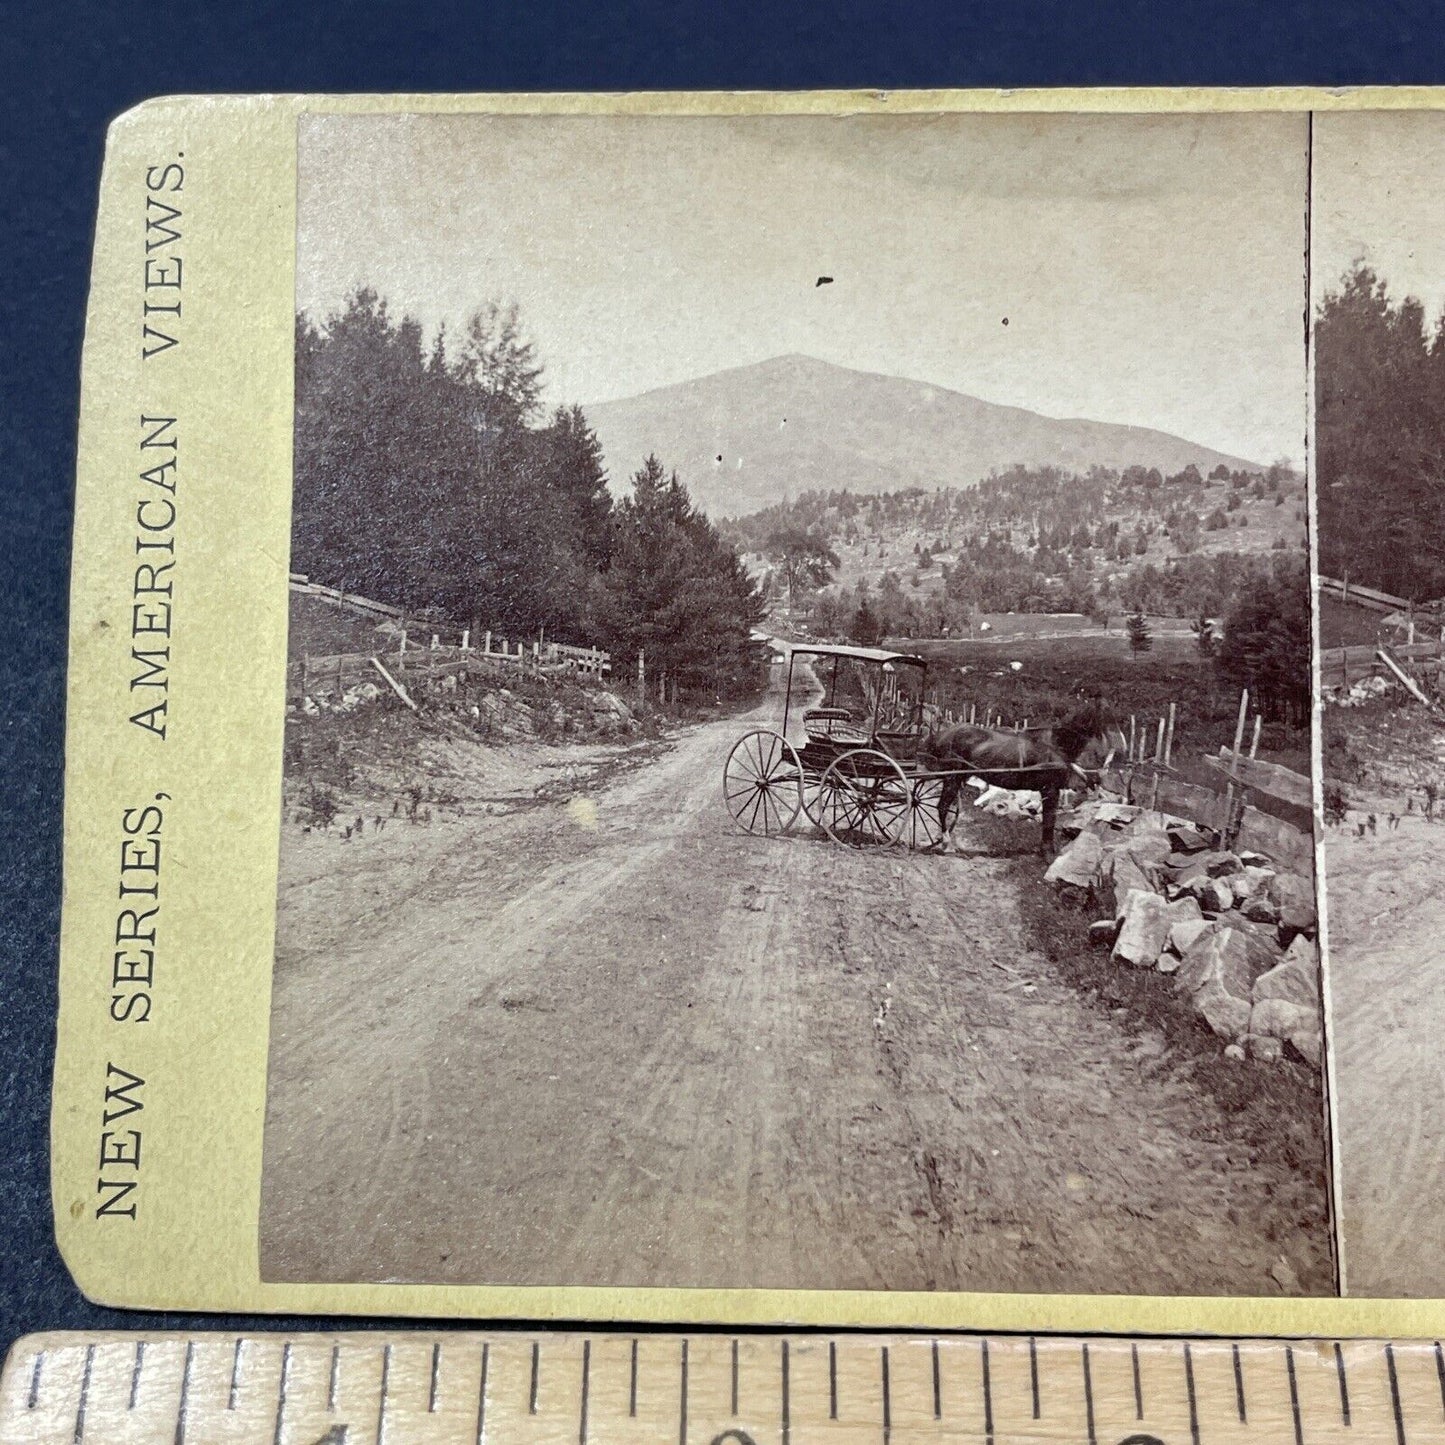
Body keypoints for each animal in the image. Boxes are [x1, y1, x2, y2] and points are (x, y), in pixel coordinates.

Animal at [919, 702, 1109, 849]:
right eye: (1103, 720)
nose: (1103, 757)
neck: (1054, 745)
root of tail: (940, 735)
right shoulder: (1050, 790)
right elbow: (1049, 821)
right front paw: (1047, 852)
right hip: (952, 777)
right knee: (942, 807)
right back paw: (945, 841)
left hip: (956, 777)